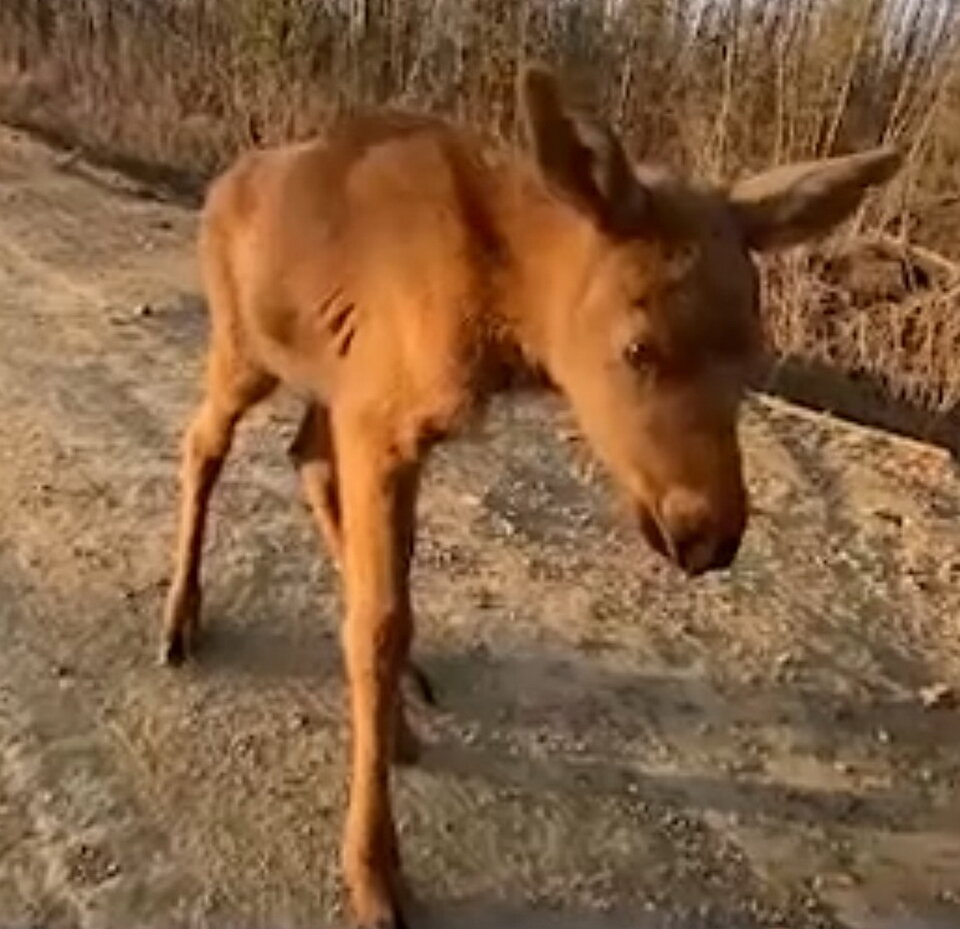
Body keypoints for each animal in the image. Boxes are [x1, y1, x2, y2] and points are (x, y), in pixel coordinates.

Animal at [161, 63, 904, 920]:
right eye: (638, 347)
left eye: (752, 351)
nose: (709, 533)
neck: (499, 309)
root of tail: (222, 183)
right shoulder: (381, 424)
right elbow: (377, 629)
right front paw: (374, 872)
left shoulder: (385, 419)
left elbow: (391, 612)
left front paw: (396, 729)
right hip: (244, 349)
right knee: (203, 443)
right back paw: (179, 619)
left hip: (319, 382)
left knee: (302, 458)